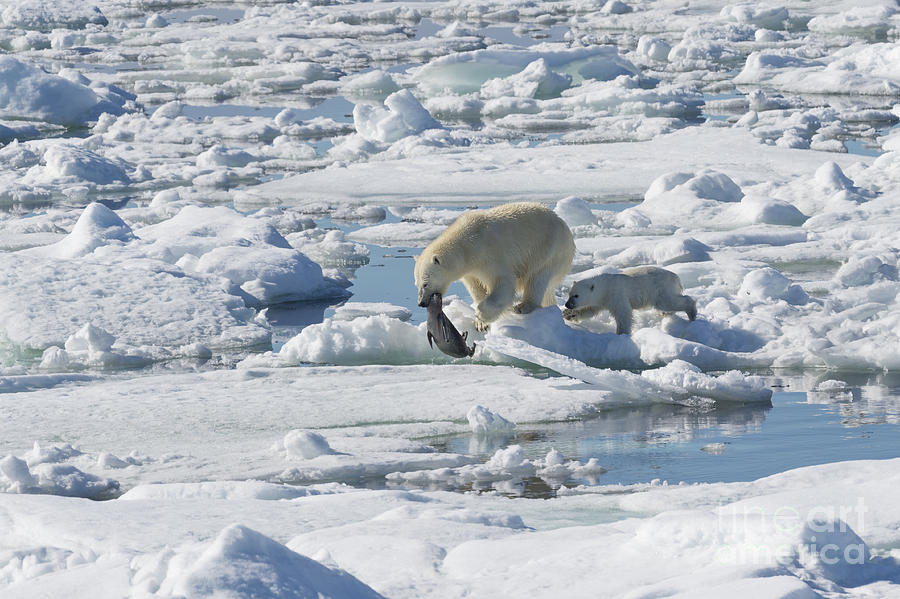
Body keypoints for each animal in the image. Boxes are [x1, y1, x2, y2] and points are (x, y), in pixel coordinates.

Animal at [416, 204, 576, 330]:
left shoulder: (490, 254)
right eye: (416, 284)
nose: (421, 303)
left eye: (425, 283)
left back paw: (523, 306)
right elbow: (475, 287)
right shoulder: (470, 270)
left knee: (538, 278)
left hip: (549, 249)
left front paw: (481, 314)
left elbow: (504, 283)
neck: (467, 245)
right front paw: (480, 324)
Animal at [564, 266, 696, 336]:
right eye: (569, 294)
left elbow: (624, 313)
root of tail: (676, 278)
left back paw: (692, 313)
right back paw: (666, 314)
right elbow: (589, 309)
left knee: (668, 302)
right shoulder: (600, 300)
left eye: (576, 295)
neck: (604, 287)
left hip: (660, 288)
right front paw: (568, 315)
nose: (567, 304)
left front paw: (621, 333)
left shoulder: (616, 295)